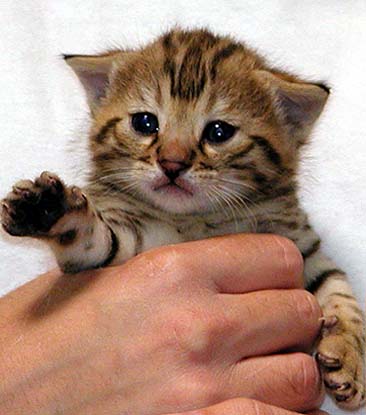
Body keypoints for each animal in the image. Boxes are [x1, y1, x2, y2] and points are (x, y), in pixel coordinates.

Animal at [1, 28, 364, 410]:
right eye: (145, 123)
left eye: (218, 132)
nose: (171, 164)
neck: (196, 219)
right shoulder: (122, 247)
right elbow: (92, 239)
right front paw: (48, 208)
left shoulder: (302, 246)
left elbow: (340, 291)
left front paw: (350, 357)